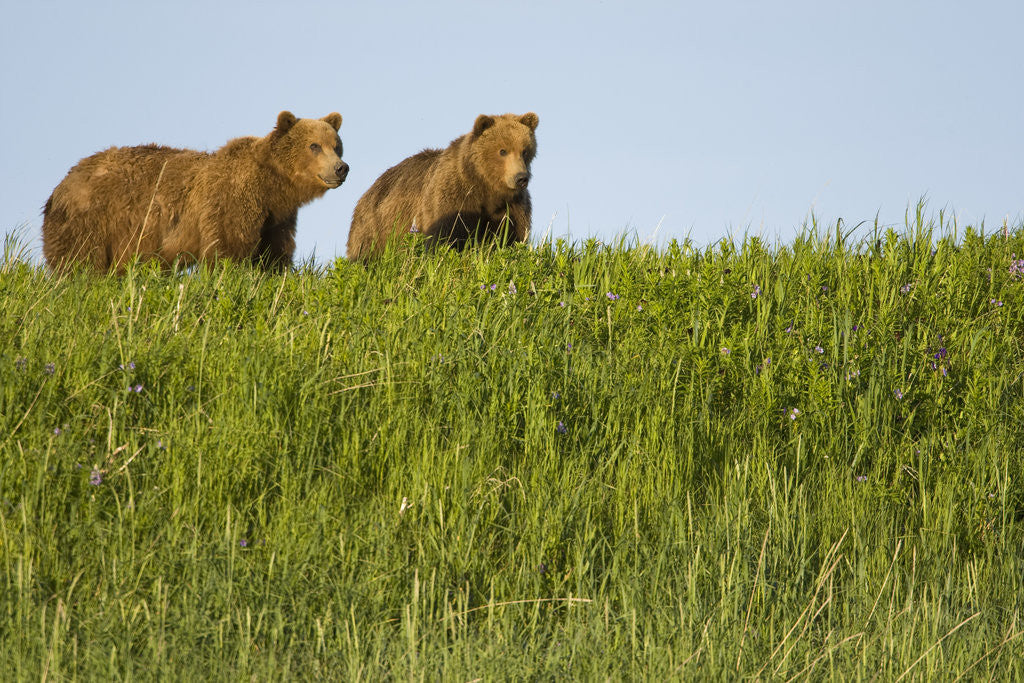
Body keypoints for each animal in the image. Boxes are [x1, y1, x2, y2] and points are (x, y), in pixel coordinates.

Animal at [42, 111, 348, 272]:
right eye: (314, 145)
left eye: (337, 145)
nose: (341, 168)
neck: (271, 186)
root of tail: (60, 186)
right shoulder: (231, 201)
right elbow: (228, 249)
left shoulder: (277, 218)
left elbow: (275, 254)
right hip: (91, 220)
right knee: (79, 262)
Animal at [346, 112, 538, 261]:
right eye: (502, 151)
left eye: (525, 151)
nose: (521, 178)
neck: (486, 188)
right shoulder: (455, 197)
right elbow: (445, 237)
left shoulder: (511, 207)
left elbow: (512, 238)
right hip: (376, 227)